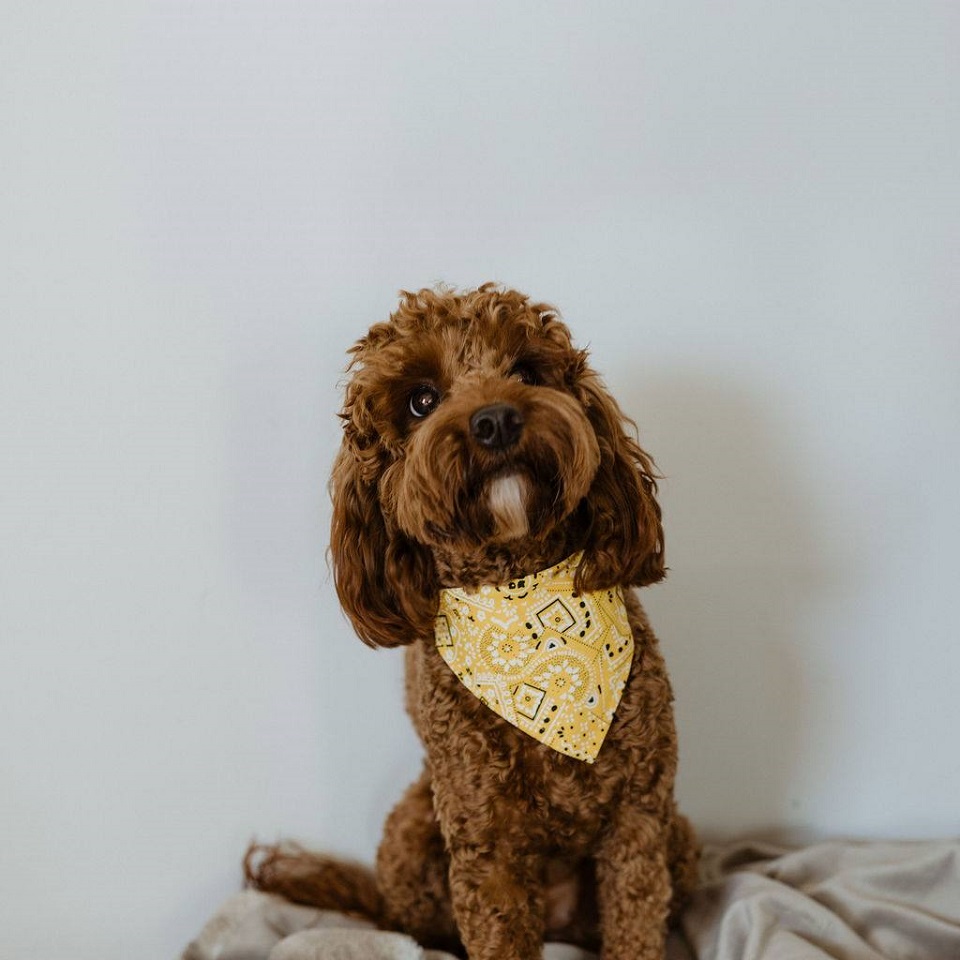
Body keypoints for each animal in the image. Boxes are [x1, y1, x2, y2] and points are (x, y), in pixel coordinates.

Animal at [246, 284, 698, 960]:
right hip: (412, 829)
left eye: (528, 371)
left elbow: (637, 921)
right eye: (421, 400)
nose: (497, 420)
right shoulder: (487, 840)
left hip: (681, 838)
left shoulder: (639, 815)